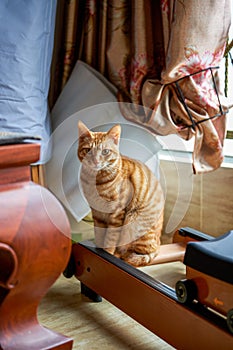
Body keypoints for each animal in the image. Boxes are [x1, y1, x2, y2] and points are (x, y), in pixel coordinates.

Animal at [78, 121, 164, 266]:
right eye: (88, 150)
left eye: (105, 151)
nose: (96, 161)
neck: (94, 181)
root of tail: (159, 242)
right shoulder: (97, 213)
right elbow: (99, 234)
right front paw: (98, 250)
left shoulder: (117, 213)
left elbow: (111, 238)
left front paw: (107, 254)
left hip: (133, 222)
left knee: (136, 252)